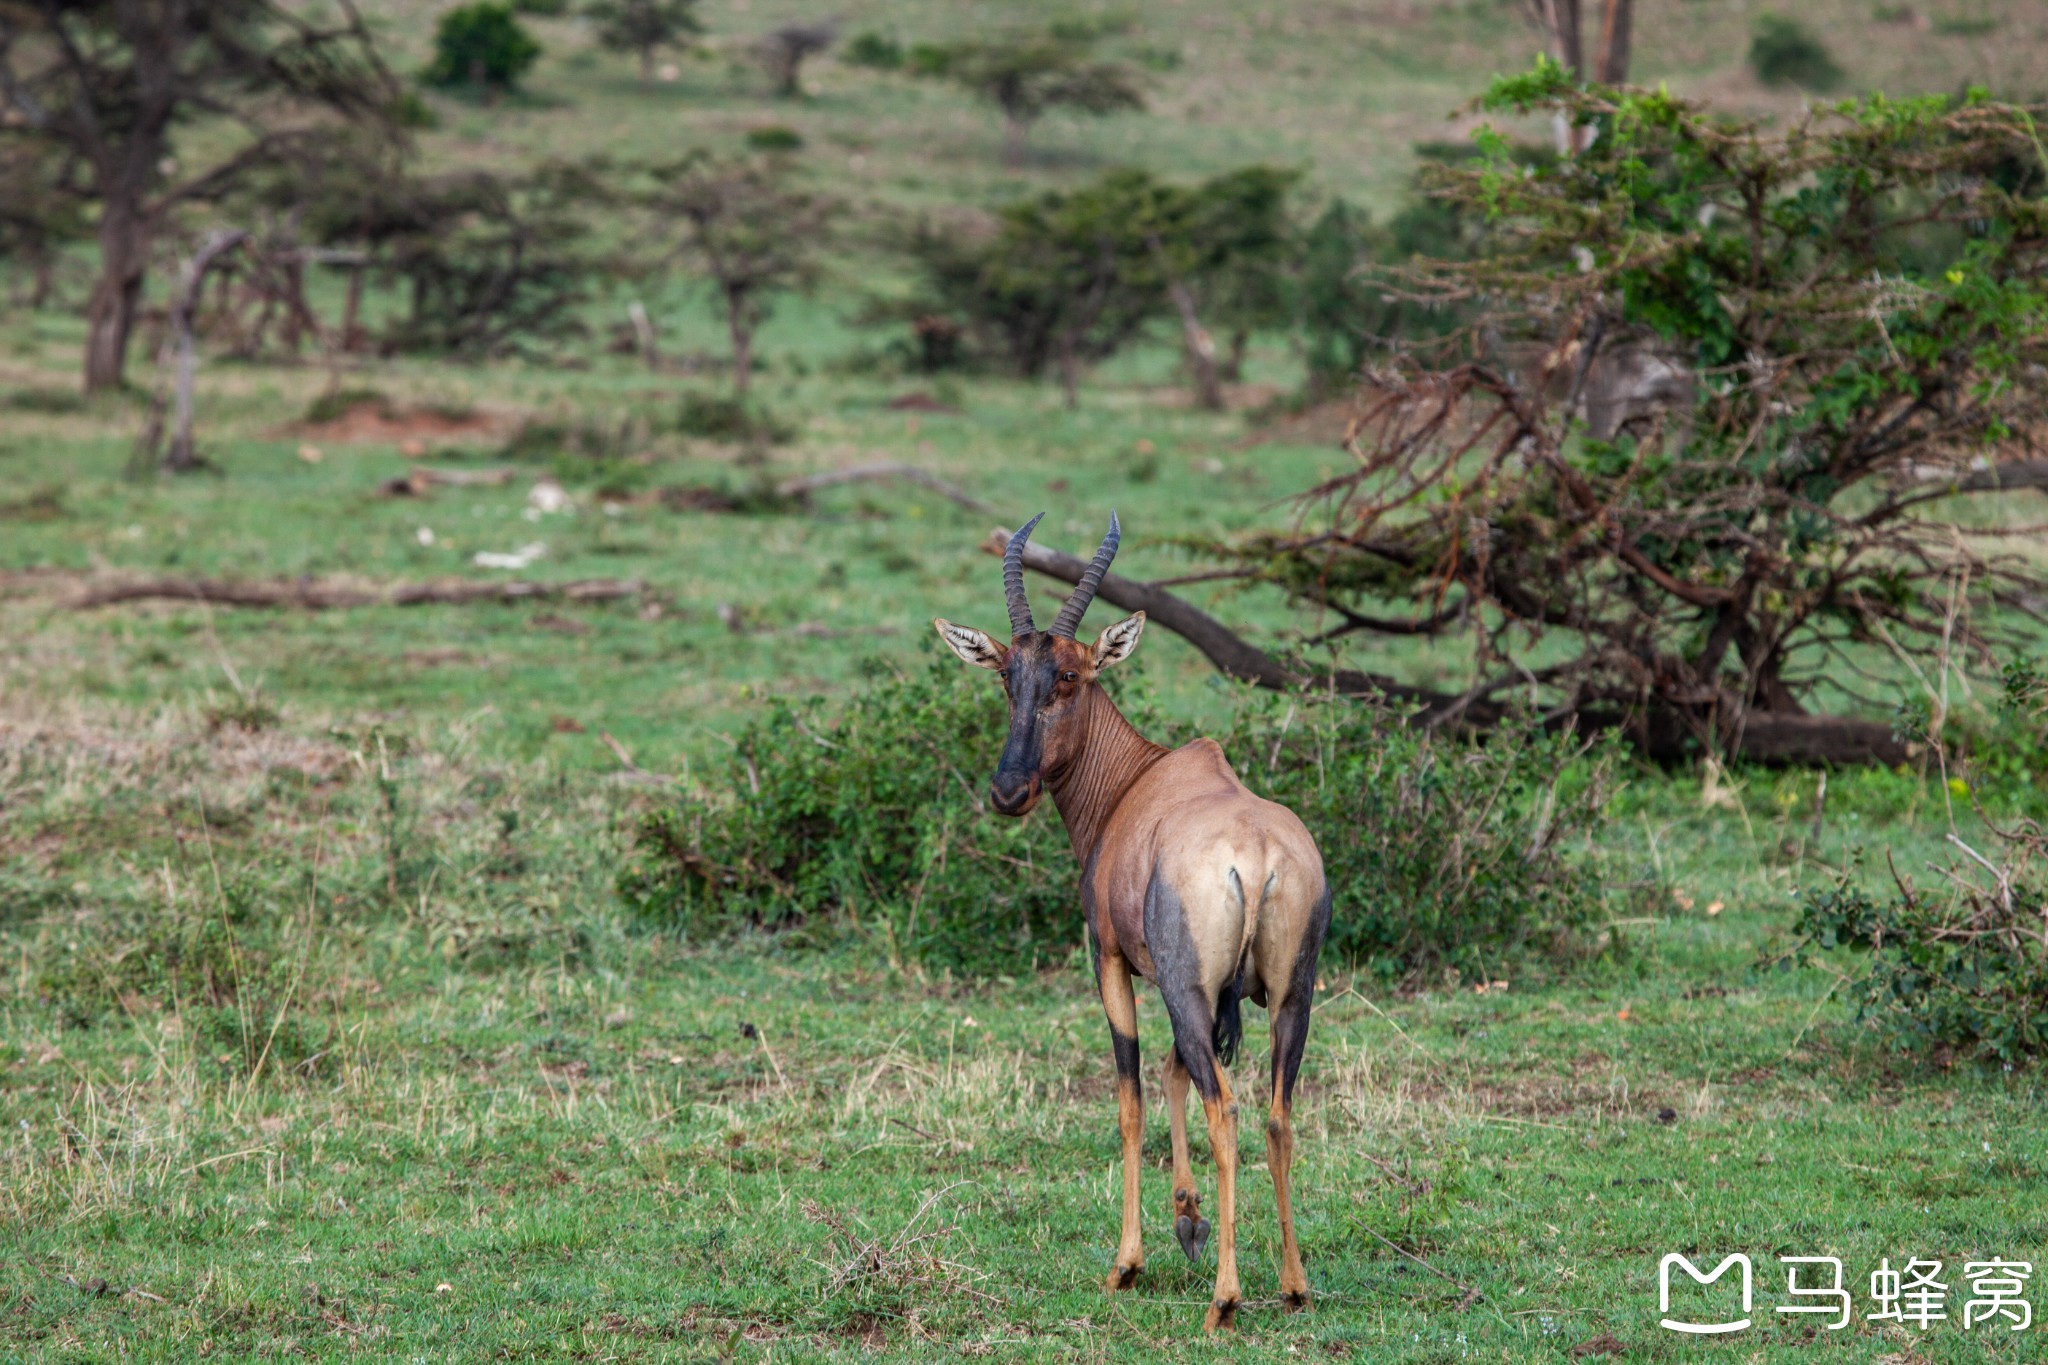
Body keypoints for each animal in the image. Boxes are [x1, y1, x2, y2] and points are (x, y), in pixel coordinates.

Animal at [937, 515, 1335, 1334]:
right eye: (1007, 675)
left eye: (1070, 675)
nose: (1009, 791)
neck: (1137, 779)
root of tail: (1258, 854)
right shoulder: (1207, 996)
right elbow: (1174, 1071)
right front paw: (1188, 1219)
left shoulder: (1116, 963)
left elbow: (1129, 1097)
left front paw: (1127, 1262)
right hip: (1292, 996)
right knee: (1276, 1114)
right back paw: (1293, 1283)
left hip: (1187, 989)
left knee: (1227, 1110)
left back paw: (1224, 1299)